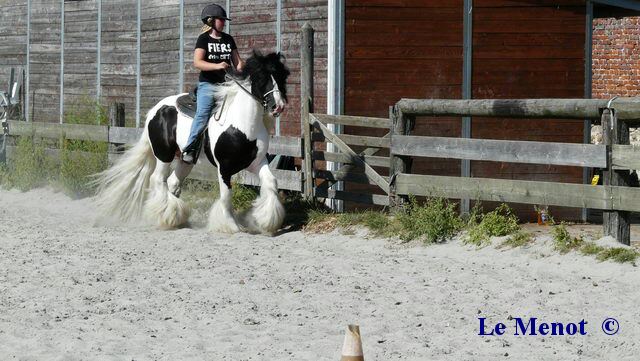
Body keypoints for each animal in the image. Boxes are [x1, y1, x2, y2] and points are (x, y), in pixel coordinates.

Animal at [94, 51, 292, 233]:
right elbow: (226, 196)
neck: (241, 125)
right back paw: (168, 216)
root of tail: (156, 110)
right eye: (261, 78)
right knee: (157, 179)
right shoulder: (224, 168)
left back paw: (176, 217)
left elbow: (271, 182)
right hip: (164, 155)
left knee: (172, 182)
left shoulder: (257, 162)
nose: (279, 106)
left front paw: (266, 221)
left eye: (281, 76)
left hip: (185, 160)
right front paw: (230, 226)